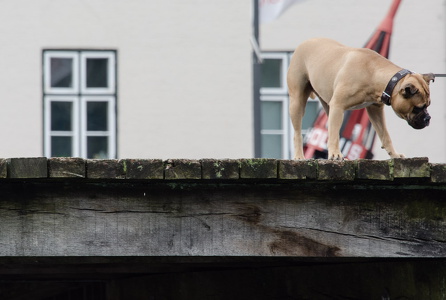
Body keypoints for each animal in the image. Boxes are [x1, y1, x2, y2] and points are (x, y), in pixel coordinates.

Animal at [288, 38, 434, 159]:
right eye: (418, 108)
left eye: (428, 105)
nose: (428, 118)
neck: (373, 72)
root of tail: (305, 42)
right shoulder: (338, 105)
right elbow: (334, 135)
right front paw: (335, 154)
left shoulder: (375, 110)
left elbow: (385, 135)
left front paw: (395, 155)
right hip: (297, 103)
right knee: (297, 133)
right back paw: (299, 156)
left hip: (329, 106)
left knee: (332, 129)